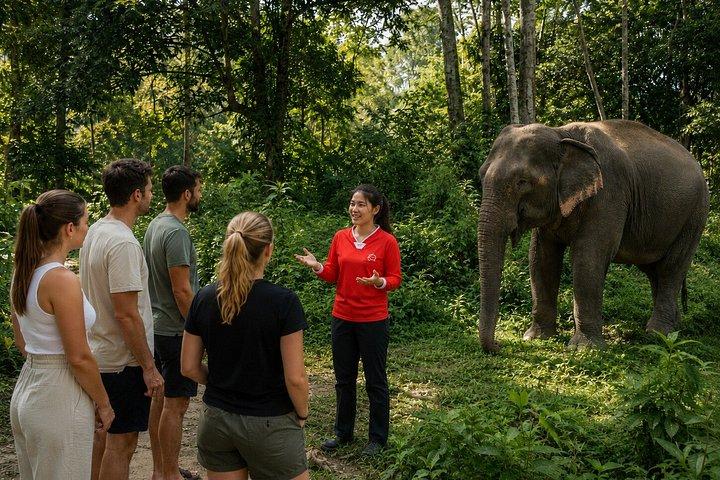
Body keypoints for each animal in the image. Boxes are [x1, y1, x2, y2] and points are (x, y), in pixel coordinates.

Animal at [477, 120, 709, 352]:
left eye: (522, 181)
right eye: (481, 174)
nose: (498, 344)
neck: (561, 134)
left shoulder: (609, 193)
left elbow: (588, 258)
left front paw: (584, 348)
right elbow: (540, 258)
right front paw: (536, 338)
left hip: (695, 215)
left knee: (671, 268)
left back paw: (657, 334)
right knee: (655, 271)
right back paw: (672, 328)